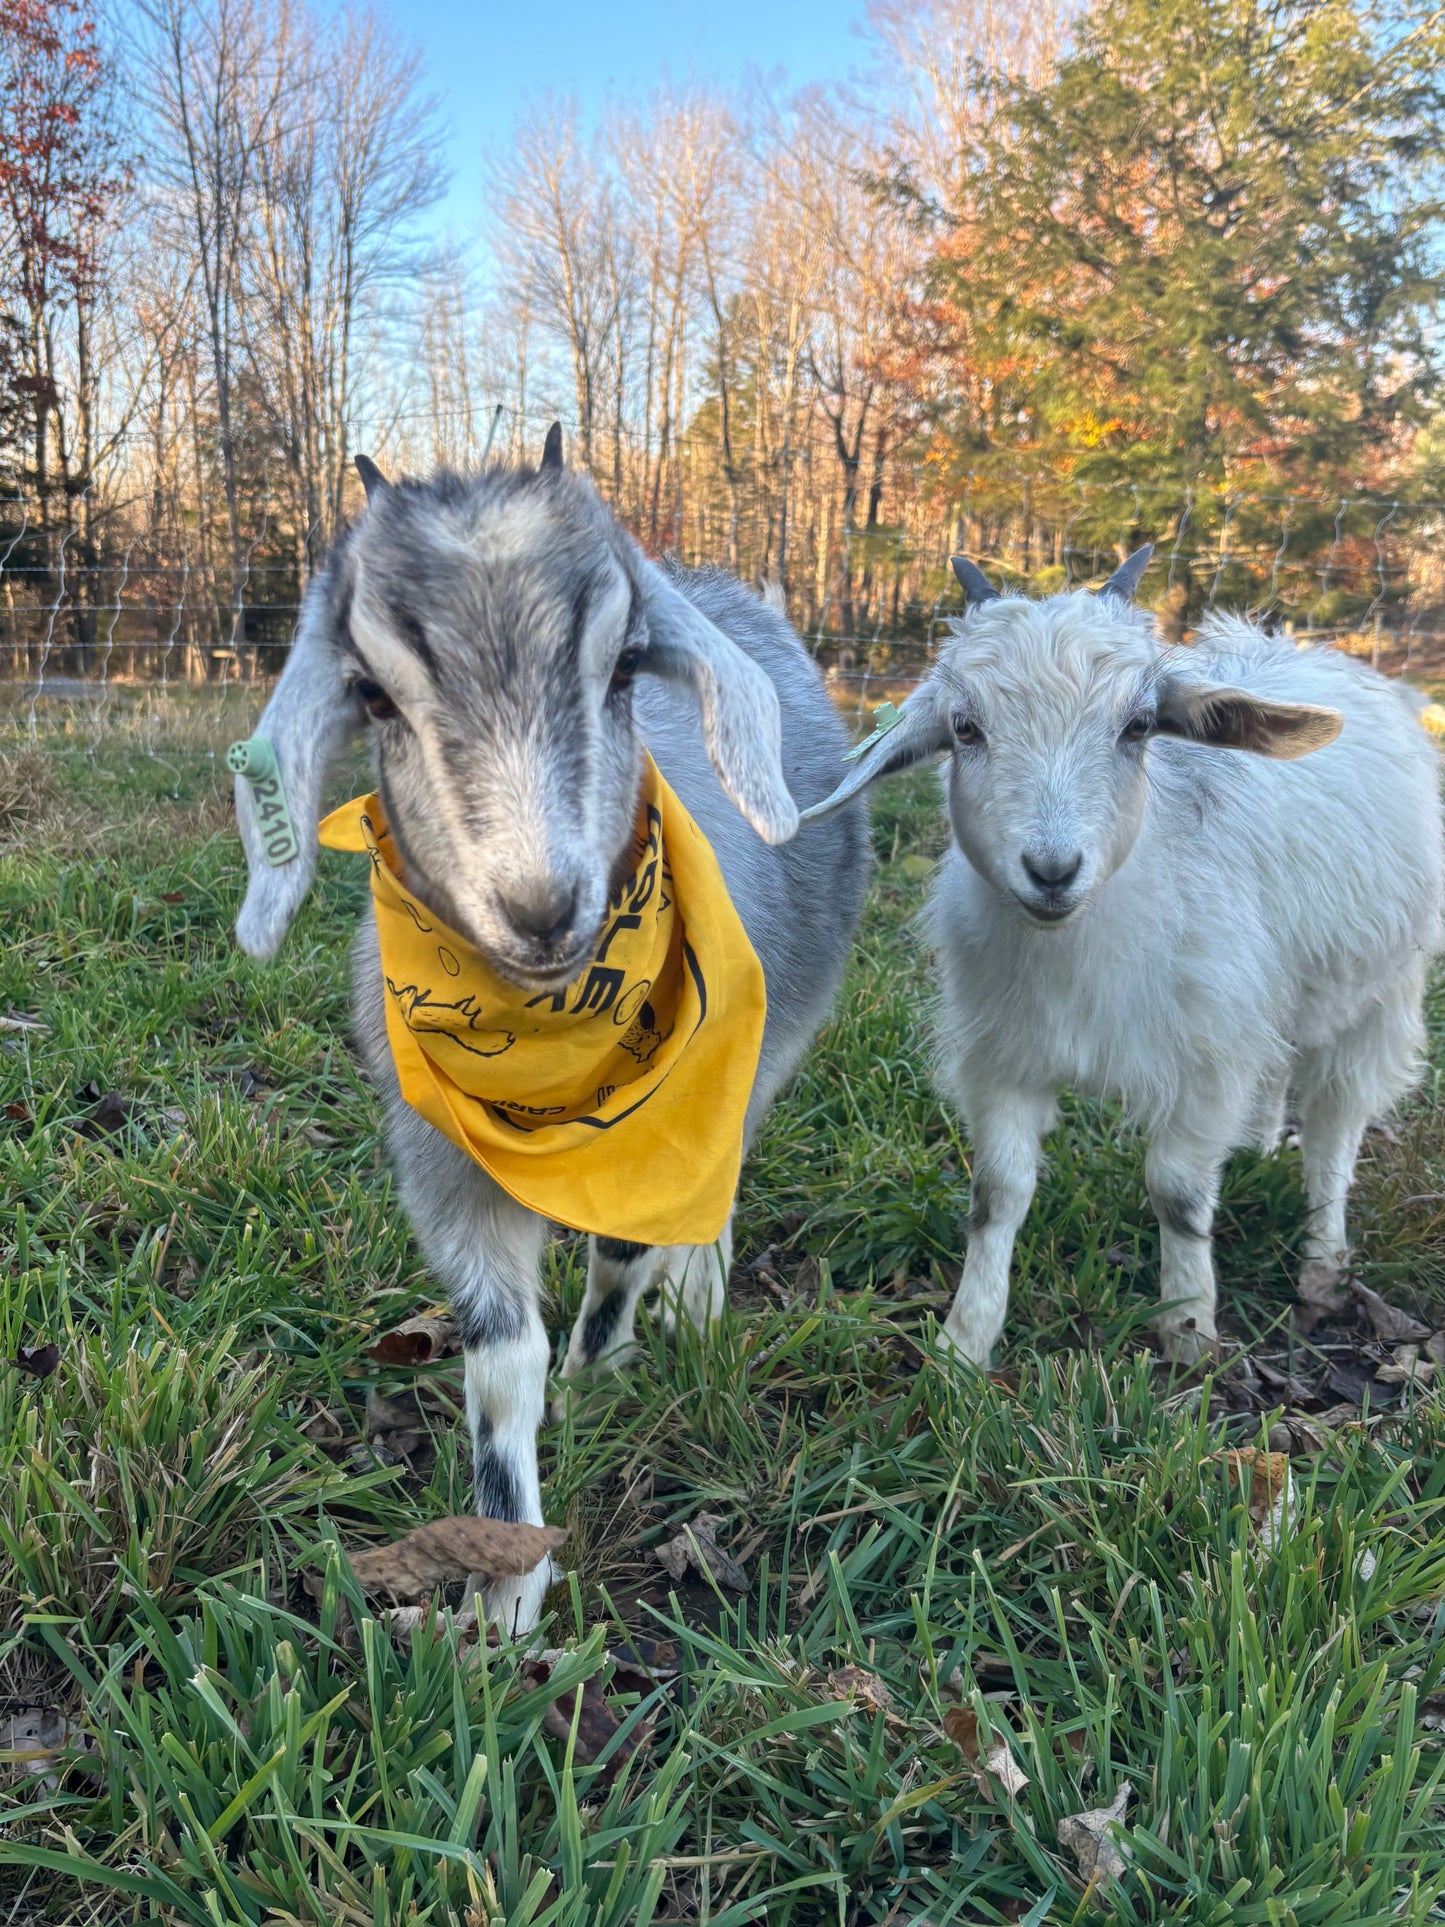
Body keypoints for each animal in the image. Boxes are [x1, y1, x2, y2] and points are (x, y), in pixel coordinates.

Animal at [235, 441, 870, 1641]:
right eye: (372, 694)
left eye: (625, 668)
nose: (538, 907)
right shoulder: (440, 1163)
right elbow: (499, 1360)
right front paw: (504, 1594)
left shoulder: (671, 1118)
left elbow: (622, 1254)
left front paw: (595, 1378)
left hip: (772, 1044)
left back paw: (696, 1302)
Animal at [809, 551, 1441, 1364]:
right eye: (964, 727)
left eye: (1137, 725)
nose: (1051, 871)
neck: (1077, 946)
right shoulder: (1004, 1056)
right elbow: (997, 1194)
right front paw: (963, 1342)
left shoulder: (1205, 1063)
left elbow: (1177, 1193)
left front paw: (1187, 1328)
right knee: (1279, 1068)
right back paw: (1260, 1148)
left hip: (1383, 991)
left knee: (1336, 1128)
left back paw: (1323, 1260)